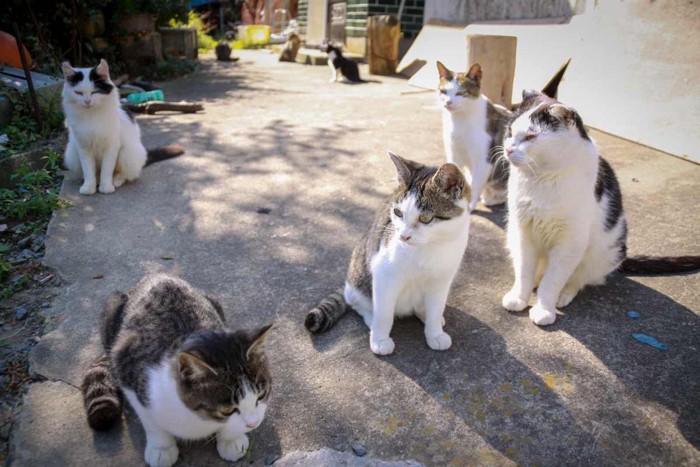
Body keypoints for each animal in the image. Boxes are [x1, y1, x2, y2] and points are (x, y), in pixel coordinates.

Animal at [61, 59, 183, 196]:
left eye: (94, 92)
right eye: (78, 93)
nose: (87, 101)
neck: (91, 116)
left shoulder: (111, 146)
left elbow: (106, 170)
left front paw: (106, 186)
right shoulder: (83, 147)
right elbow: (88, 170)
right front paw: (89, 187)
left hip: (127, 153)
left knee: (126, 174)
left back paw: (116, 181)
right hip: (72, 153)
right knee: (94, 172)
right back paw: (95, 180)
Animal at [79, 274, 270, 467]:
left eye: (261, 395)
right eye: (227, 410)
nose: (254, 424)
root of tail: (156, 275)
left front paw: (231, 439)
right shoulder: (127, 367)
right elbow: (150, 420)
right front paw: (161, 448)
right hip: (112, 310)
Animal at [306, 152, 470, 356]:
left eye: (425, 218)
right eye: (398, 213)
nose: (403, 236)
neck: (427, 248)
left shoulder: (442, 279)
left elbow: (436, 307)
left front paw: (435, 333)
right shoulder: (384, 274)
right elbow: (383, 313)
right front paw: (380, 340)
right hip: (359, 279)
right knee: (359, 302)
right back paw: (371, 320)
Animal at [504, 90, 700, 326]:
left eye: (531, 137)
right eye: (509, 132)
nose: (508, 149)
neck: (541, 179)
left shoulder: (570, 242)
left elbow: (553, 281)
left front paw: (544, 309)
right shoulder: (523, 233)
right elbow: (524, 271)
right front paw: (518, 298)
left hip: (606, 251)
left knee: (578, 279)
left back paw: (564, 294)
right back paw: (536, 281)